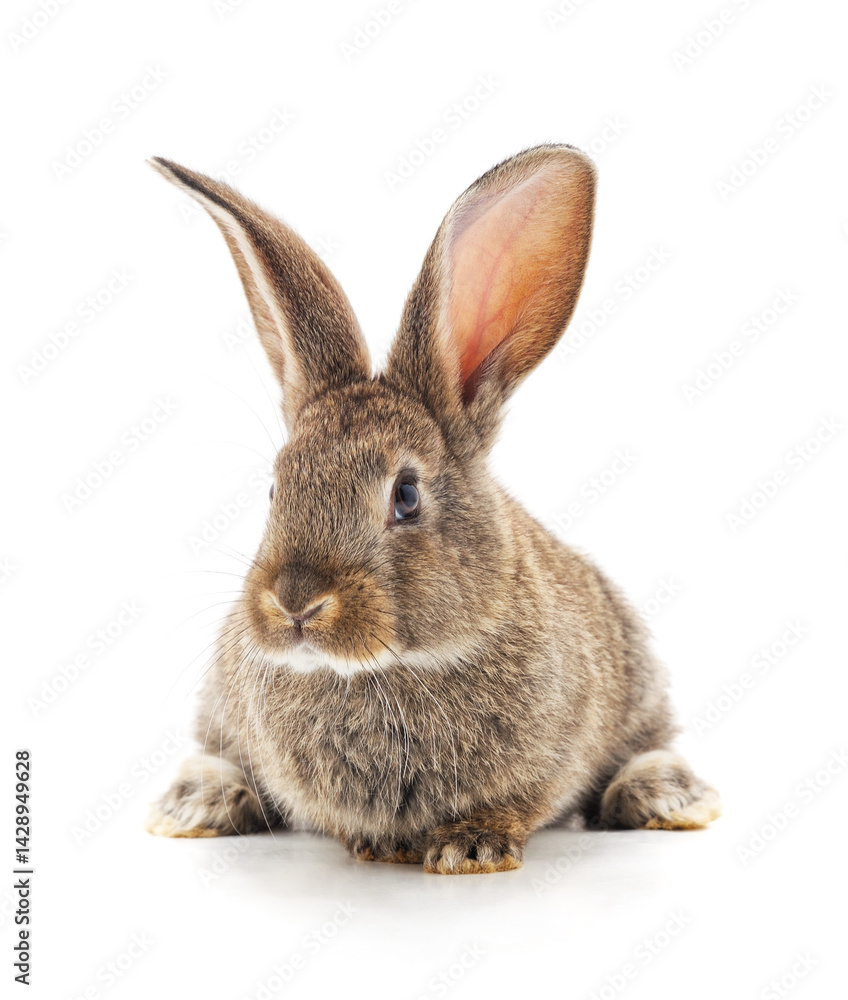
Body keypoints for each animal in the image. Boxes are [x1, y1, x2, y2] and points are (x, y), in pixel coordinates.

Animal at [145, 145, 720, 874]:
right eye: (275, 489)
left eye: (406, 496)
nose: (295, 602)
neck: (385, 670)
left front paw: (471, 847)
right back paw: (199, 804)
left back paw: (662, 796)